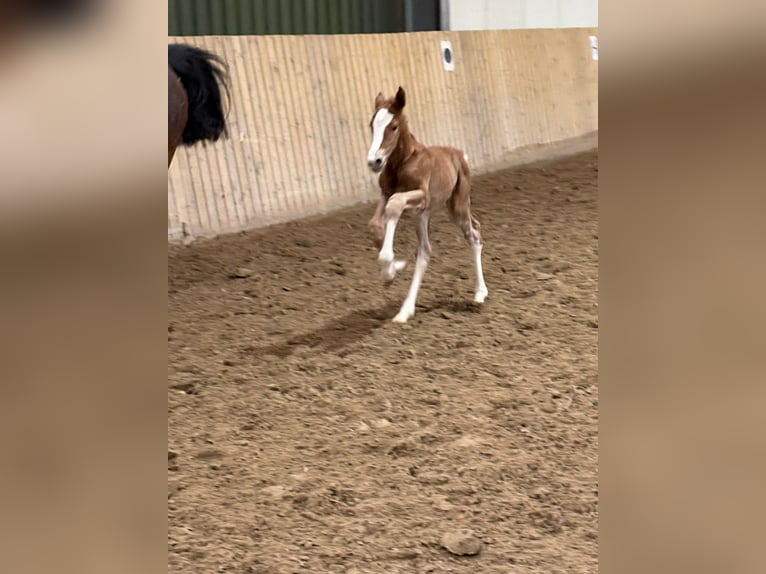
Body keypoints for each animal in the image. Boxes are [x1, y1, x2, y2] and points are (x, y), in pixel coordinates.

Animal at [366, 86, 489, 323]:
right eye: (371, 125)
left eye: (393, 126)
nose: (374, 162)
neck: (403, 162)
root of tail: (460, 154)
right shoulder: (386, 193)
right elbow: (375, 224)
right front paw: (390, 272)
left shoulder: (421, 195)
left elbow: (394, 205)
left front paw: (390, 264)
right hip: (423, 214)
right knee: (425, 250)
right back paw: (405, 310)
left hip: (457, 206)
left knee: (474, 235)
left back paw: (480, 293)